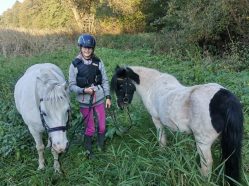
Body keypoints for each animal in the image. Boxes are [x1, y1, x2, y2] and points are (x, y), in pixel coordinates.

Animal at [111, 66, 243, 185]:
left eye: (121, 85)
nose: (120, 105)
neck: (152, 85)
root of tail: (226, 99)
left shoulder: (157, 121)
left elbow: (162, 140)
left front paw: (162, 154)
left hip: (203, 143)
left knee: (207, 163)